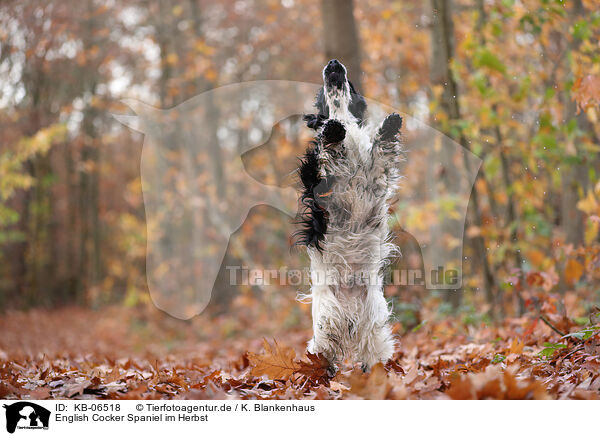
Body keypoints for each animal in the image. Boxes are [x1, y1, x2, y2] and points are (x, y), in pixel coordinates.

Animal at [296, 59, 404, 372]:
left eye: (352, 85)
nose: (333, 63)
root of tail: (350, 317)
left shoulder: (375, 178)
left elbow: (382, 151)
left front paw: (390, 124)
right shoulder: (322, 189)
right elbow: (328, 155)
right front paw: (332, 133)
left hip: (374, 333)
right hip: (326, 328)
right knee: (324, 358)